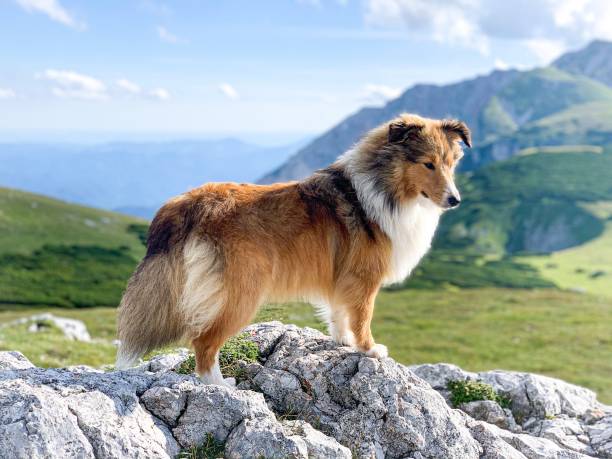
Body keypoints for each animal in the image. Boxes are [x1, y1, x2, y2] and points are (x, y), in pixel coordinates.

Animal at [116, 115, 468, 384]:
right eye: (428, 164)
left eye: (452, 164)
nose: (455, 200)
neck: (383, 187)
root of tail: (189, 203)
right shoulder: (365, 279)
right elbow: (362, 317)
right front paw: (369, 349)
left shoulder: (343, 277)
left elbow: (339, 311)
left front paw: (342, 341)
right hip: (241, 294)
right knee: (203, 342)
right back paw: (220, 385)